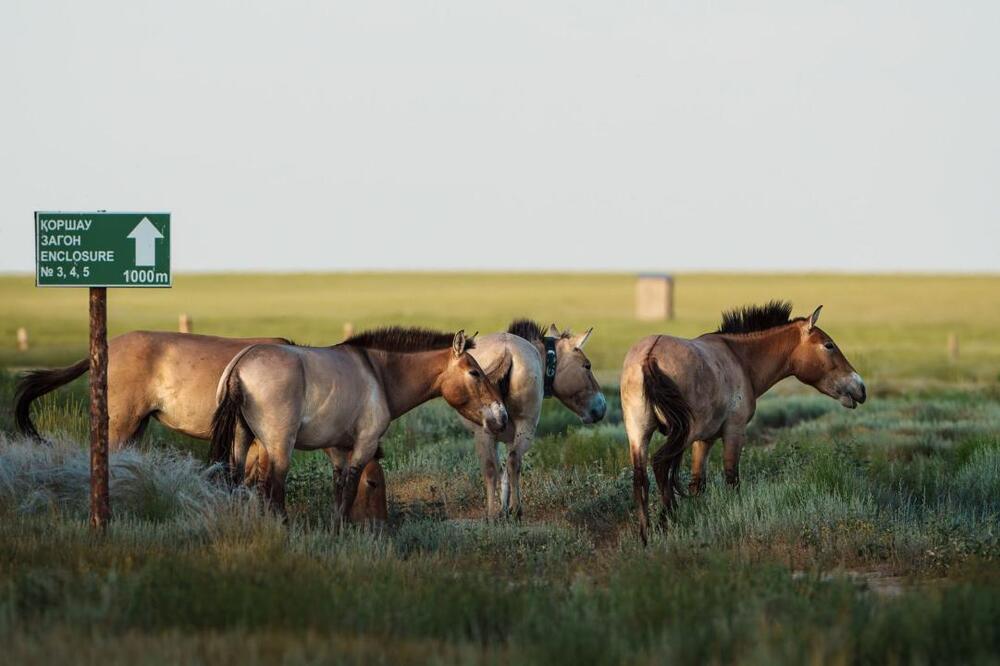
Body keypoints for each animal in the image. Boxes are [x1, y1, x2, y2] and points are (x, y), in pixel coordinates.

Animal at [210, 327, 508, 521]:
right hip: (279, 447)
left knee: (237, 480)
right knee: (273, 489)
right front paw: (342, 529)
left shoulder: (339, 450)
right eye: (475, 373)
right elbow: (352, 489)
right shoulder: (365, 444)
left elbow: (339, 489)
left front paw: (335, 527)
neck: (379, 374)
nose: (502, 416)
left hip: (241, 440)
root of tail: (240, 366)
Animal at [460, 319, 606, 519]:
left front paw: (502, 510)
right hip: (526, 428)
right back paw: (517, 510)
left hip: (484, 433)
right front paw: (507, 509)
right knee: (514, 461)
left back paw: (491, 516)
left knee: (490, 468)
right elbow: (507, 470)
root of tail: (506, 352)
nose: (602, 407)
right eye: (587, 365)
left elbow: (500, 472)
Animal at [620, 302, 866, 544]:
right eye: (829, 345)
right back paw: (666, 521)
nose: (861, 388)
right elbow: (732, 478)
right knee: (660, 464)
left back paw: (646, 535)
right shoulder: (734, 431)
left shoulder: (705, 440)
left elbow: (698, 483)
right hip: (682, 433)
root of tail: (650, 355)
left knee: (640, 478)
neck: (739, 358)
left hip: (639, 433)